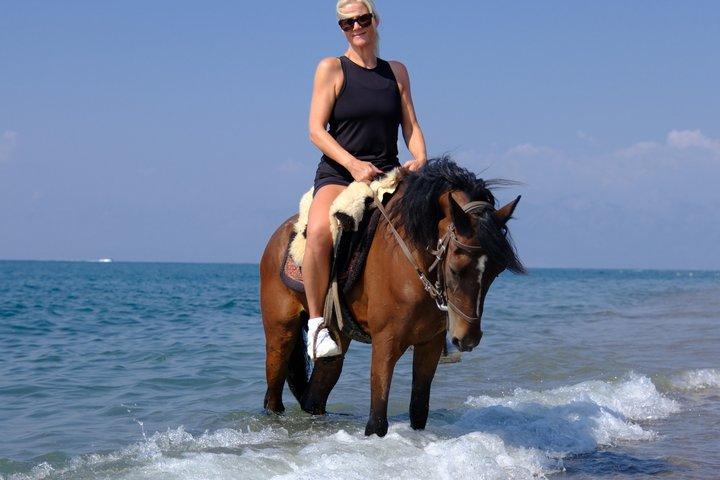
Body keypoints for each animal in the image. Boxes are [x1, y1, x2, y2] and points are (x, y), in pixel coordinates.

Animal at [260, 158, 525, 437]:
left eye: (497, 271)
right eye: (456, 267)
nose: (468, 339)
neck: (412, 261)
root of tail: (281, 235)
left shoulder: (430, 344)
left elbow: (418, 411)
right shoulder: (386, 341)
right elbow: (377, 421)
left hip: (338, 340)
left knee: (314, 397)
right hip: (280, 334)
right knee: (273, 397)